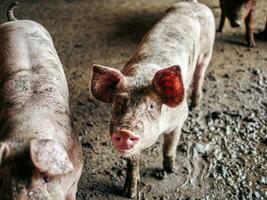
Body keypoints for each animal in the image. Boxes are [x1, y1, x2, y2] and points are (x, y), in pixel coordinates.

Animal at [90, 0, 216, 198]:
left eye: (150, 106)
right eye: (119, 102)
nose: (125, 132)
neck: (142, 75)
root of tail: (194, 3)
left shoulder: (179, 120)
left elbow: (169, 148)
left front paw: (170, 170)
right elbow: (133, 162)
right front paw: (129, 193)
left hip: (207, 50)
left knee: (200, 73)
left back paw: (196, 103)